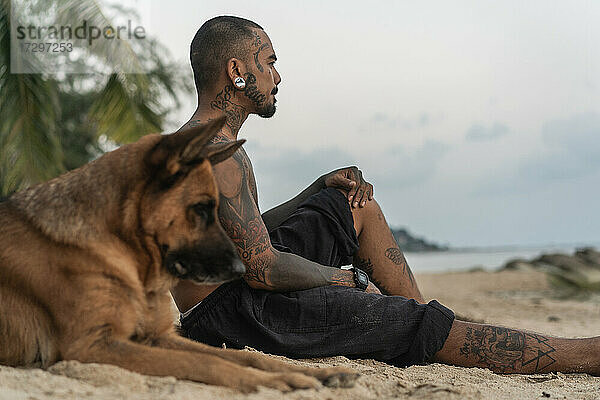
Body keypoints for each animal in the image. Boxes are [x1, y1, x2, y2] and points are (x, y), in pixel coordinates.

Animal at [0, 117, 356, 392]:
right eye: (201, 209)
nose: (243, 269)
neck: (128, 252)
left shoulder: (157, 336)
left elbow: (246, 355)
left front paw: (319, 372)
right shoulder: (90, 346)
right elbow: (208, 364)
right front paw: (276, 382)